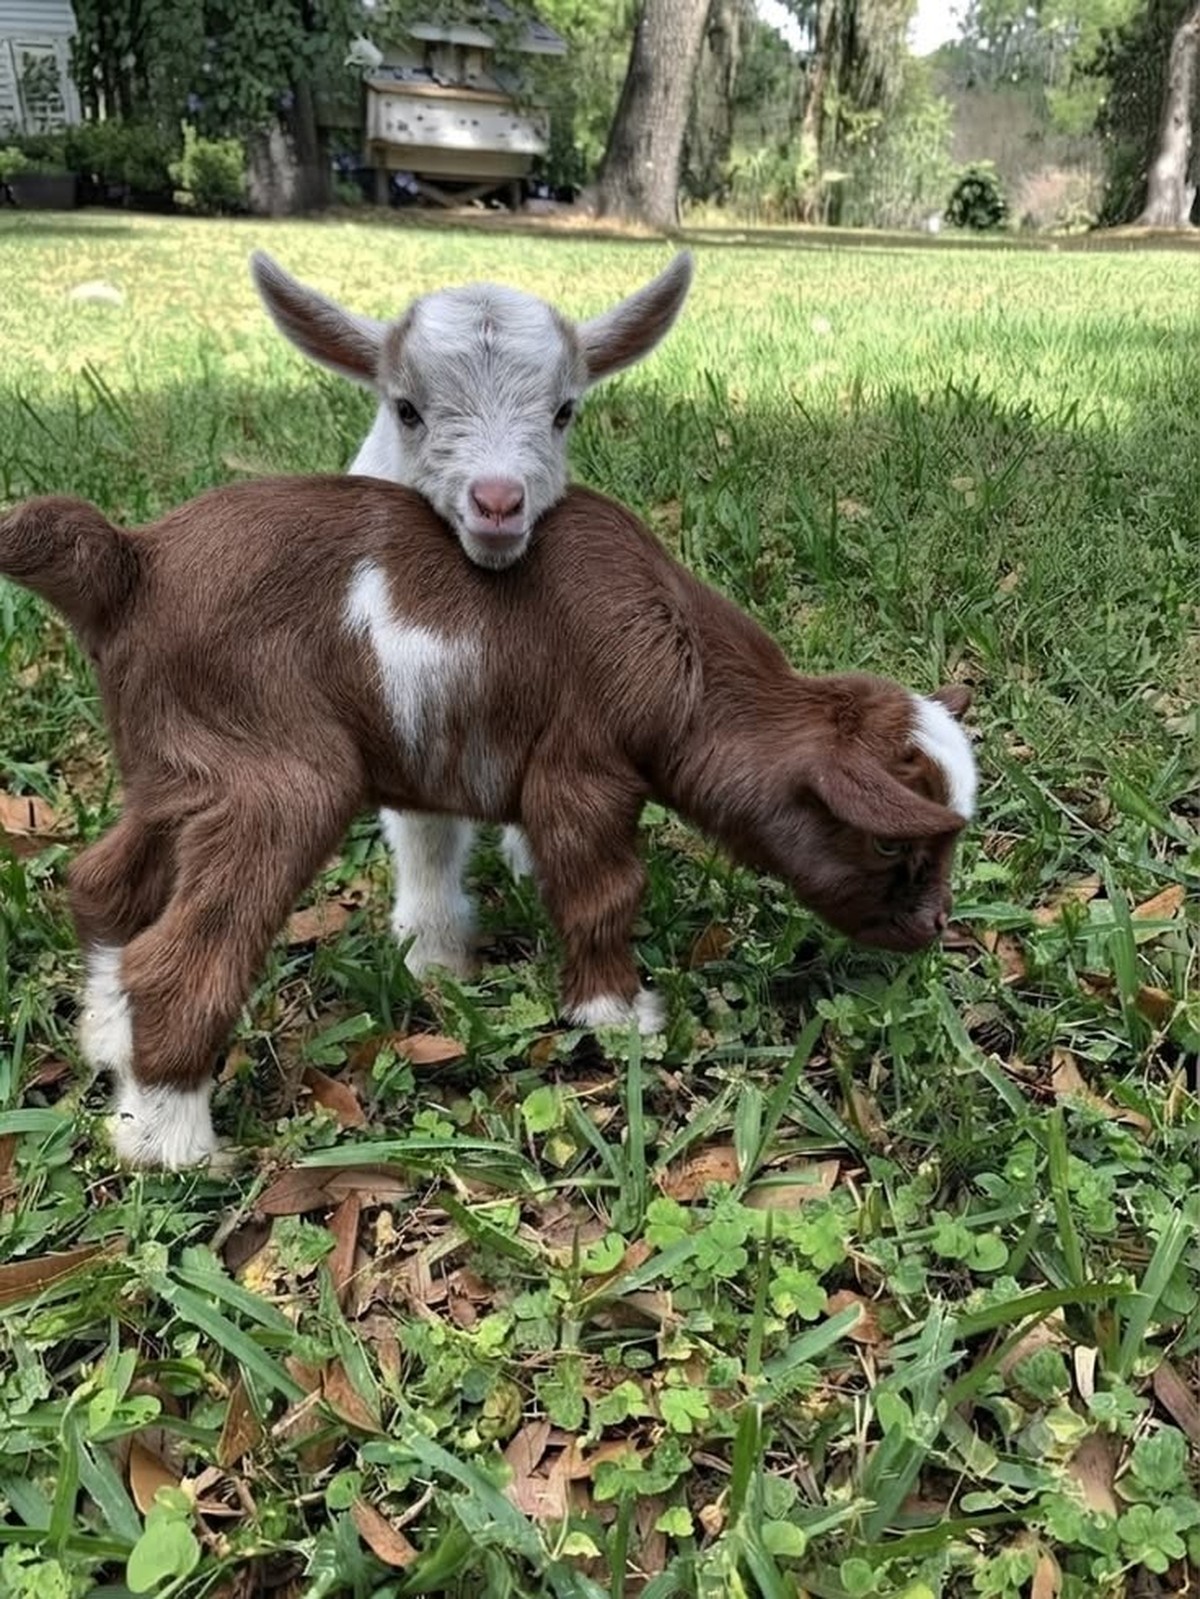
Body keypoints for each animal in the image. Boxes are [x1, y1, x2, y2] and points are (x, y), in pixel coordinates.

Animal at [0, 479, 976, 1170]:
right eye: (892, 843)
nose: (933, 927)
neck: (689, 664)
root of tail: (134, 561)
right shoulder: (581, 772)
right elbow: (602, 887)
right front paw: (618, 1014)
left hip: (175, 770)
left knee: (104, 885)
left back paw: (109, 1043)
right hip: (277, 778)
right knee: (180, 957)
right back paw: (168, 1139)